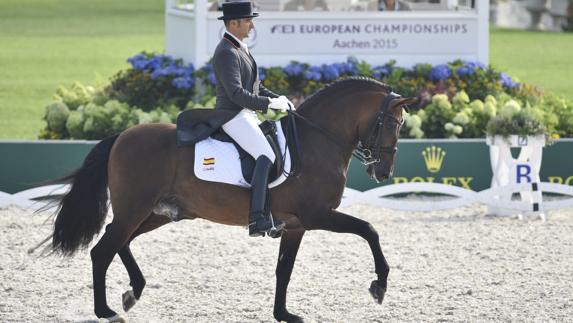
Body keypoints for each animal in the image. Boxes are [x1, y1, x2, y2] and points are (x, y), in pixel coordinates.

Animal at [49, 77, 414, 322]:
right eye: (393, 125)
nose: (383, 172)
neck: (316, 143)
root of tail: (122, 136)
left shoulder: (296, 225)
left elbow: (284, 270)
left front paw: (283, 314)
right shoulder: (318, 215)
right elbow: (369, 230)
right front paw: (379, 285)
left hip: (155, 213)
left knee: (120, 242)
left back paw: (132, 292)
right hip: (136, 209)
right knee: (102, 250)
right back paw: (106, 310)